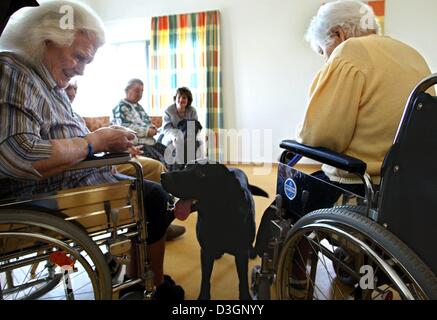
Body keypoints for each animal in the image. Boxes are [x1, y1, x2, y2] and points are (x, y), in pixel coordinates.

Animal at [162, 162, 268, 300]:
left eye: (201, 173)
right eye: (185, 167)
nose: (163, 176)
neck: (218, 217)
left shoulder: (240, 253)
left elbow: (243, 279)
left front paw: (245, 297)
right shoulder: (206, 251)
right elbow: (205, 279)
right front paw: (203, 296)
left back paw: (252, 251)